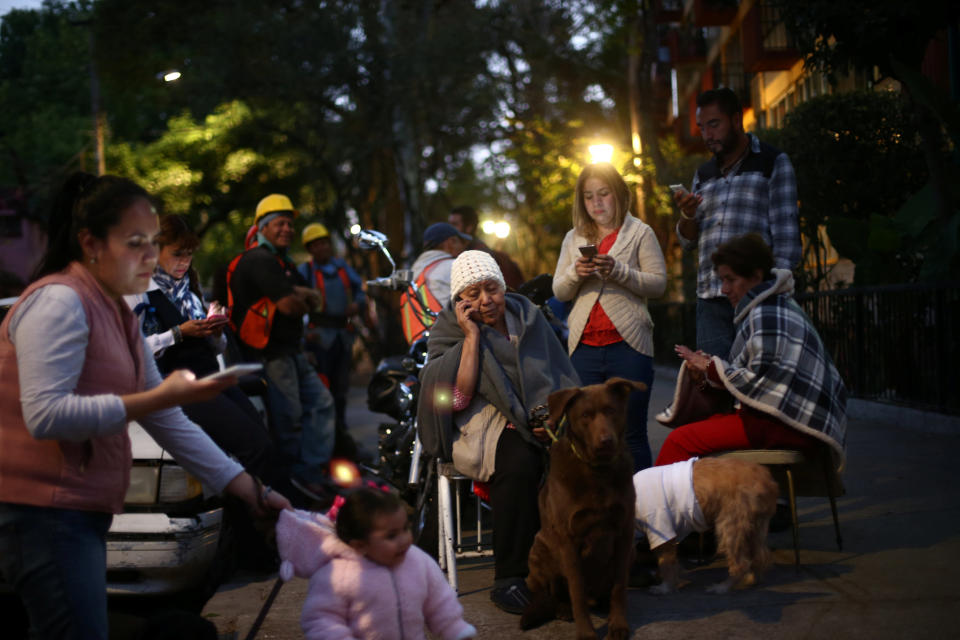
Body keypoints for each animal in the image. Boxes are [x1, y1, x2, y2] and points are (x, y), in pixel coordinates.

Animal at [516, 378, 644, 636]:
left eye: (611, 411)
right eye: (585, 415)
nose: (606, 441)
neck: (599, 471)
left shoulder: (624, 534)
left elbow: (619, 587)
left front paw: (618, 625)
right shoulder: (569, 540)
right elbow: (576, 591)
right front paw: (586, 632)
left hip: (631, 553)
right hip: (539, 550)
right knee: (553, 593)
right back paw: (563, 609)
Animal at [636, 458, 780, 592]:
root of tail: (768, 480)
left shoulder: (661, 527)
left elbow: (665, 563)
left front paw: (665, 587)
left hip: (729, 525)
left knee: (742, 563)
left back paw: (723, 587)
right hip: (753, 527)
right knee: (758, 557)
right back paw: (752, 579)